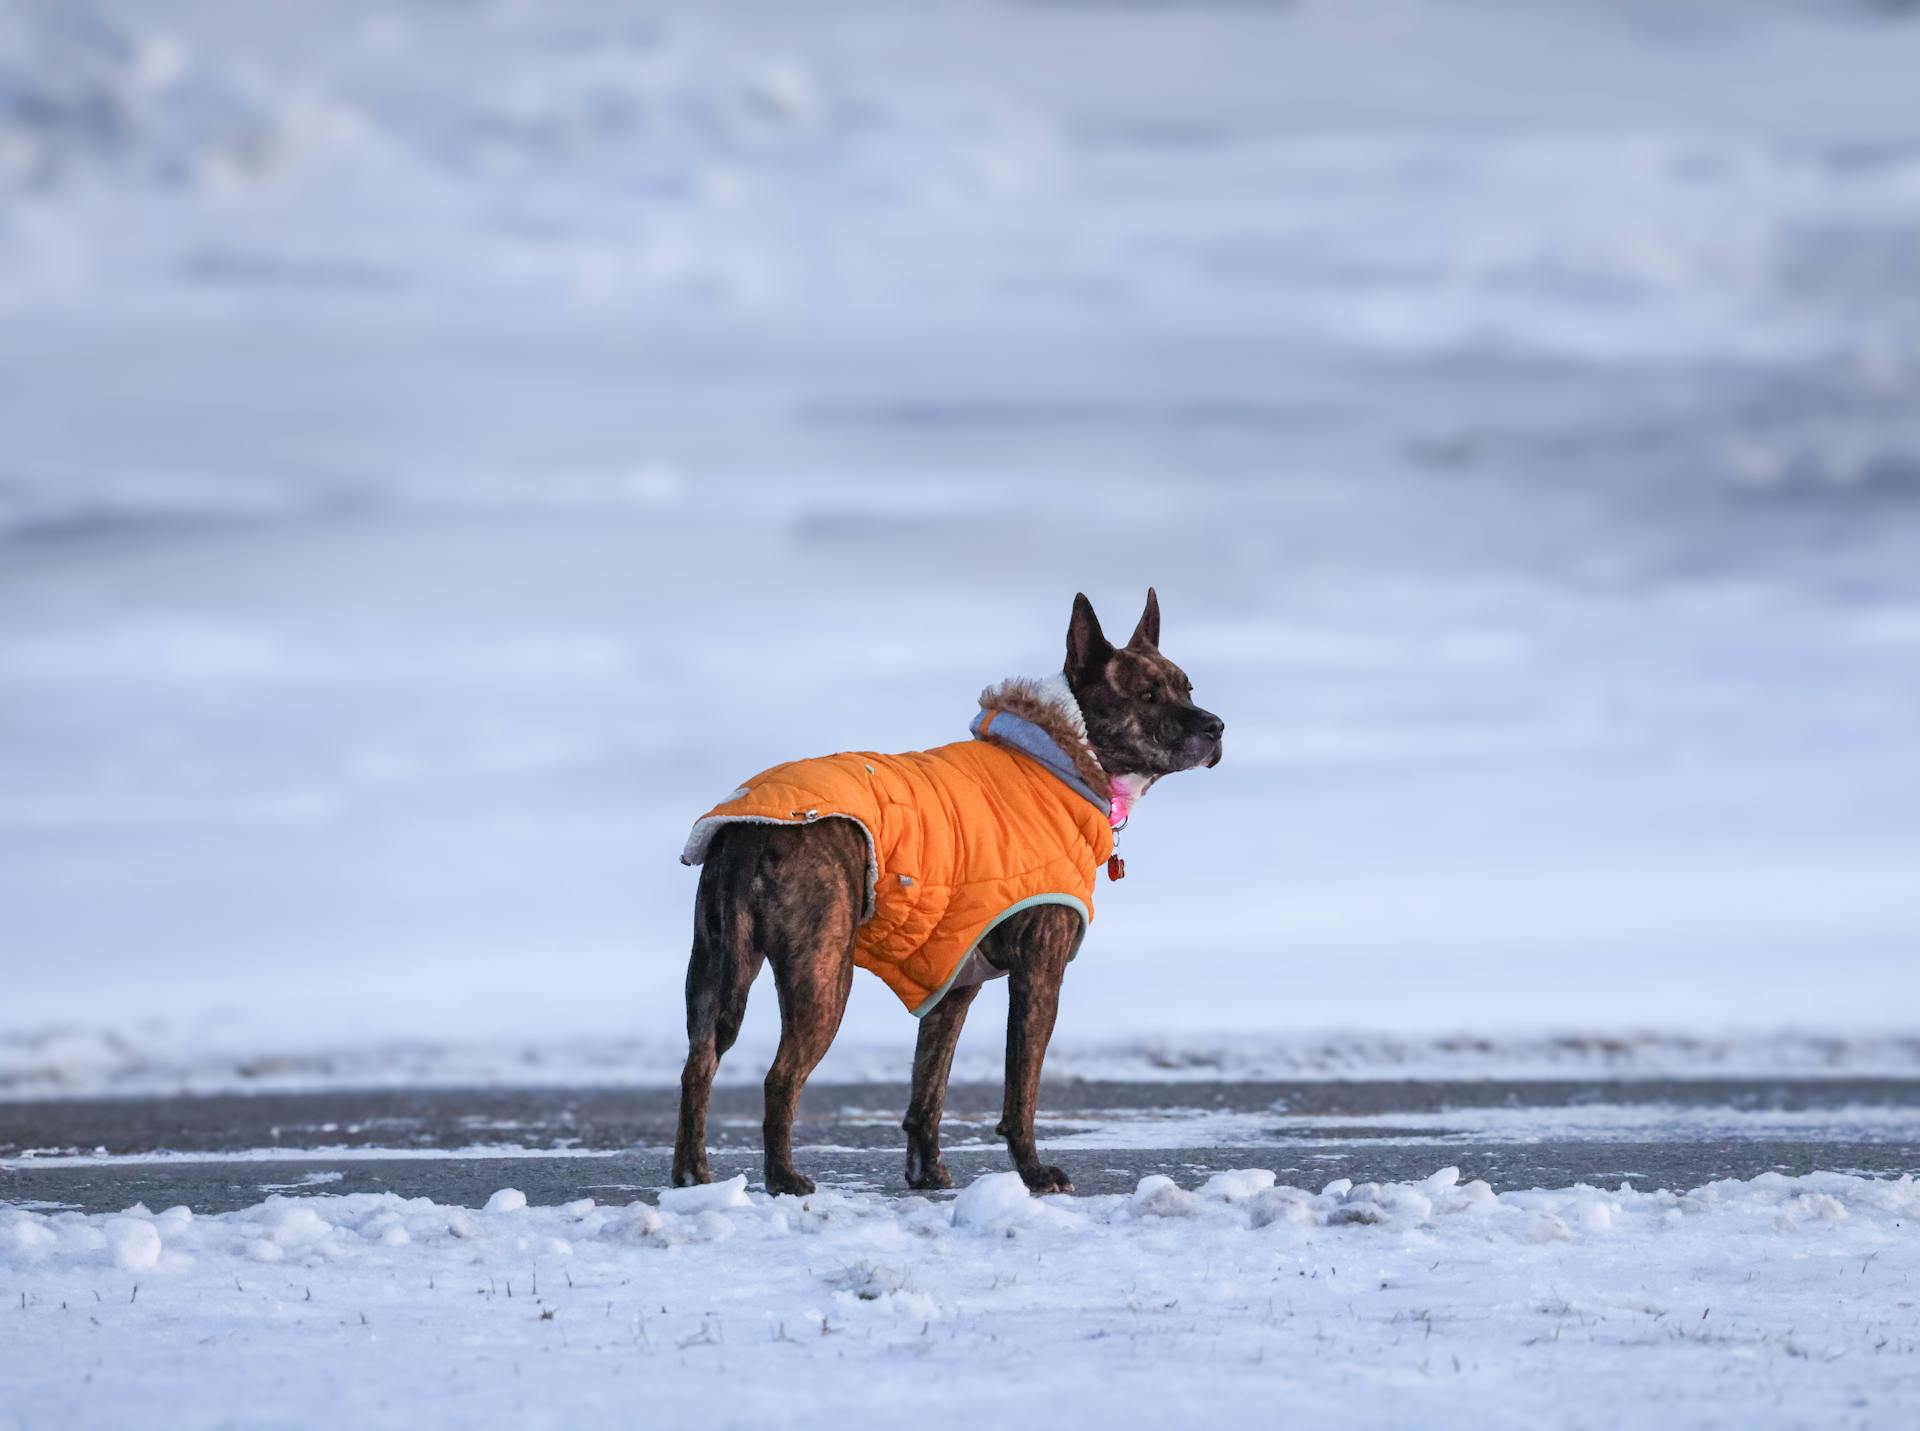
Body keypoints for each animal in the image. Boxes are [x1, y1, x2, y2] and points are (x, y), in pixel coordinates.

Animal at [668, 587, 1221, 1190]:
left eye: (1188, 686)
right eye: (1146, 695)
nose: (1215, 726)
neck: (1067, 756)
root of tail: (753, 830)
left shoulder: (952, 981)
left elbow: (928, 1083)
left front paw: (926, 1169)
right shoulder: (1039, 974)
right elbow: (1021, 1087)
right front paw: (1033, 1172)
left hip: (716, 966)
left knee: (698, 1063)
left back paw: (691, 1173)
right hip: (822, 973)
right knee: (780, 1076)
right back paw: (784, 1178)